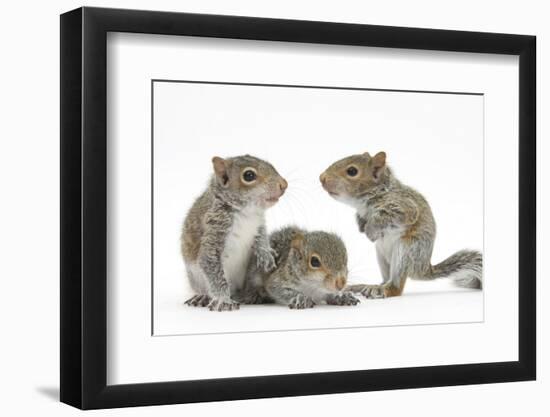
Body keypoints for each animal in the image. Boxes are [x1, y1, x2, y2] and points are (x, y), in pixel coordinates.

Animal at [183, 154, 292, 310]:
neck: (246, 212)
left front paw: (265, 253)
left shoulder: (259, 223)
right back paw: (203, 296)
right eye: (249, 175)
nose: (284, 184)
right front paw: (223, 299)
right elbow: (212, 266)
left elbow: (261, 236)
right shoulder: (213, 230)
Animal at [320, 151, 484, 298]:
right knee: (386, 280)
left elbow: (387, 218)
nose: (322, 178)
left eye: (352, 171)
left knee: (396, 288)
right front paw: (360, 224)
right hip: (382, 256)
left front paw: (370, 230)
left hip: (406, 251)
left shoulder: (405, 207)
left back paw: (381, 290)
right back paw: (366, 286)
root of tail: (422, 269)